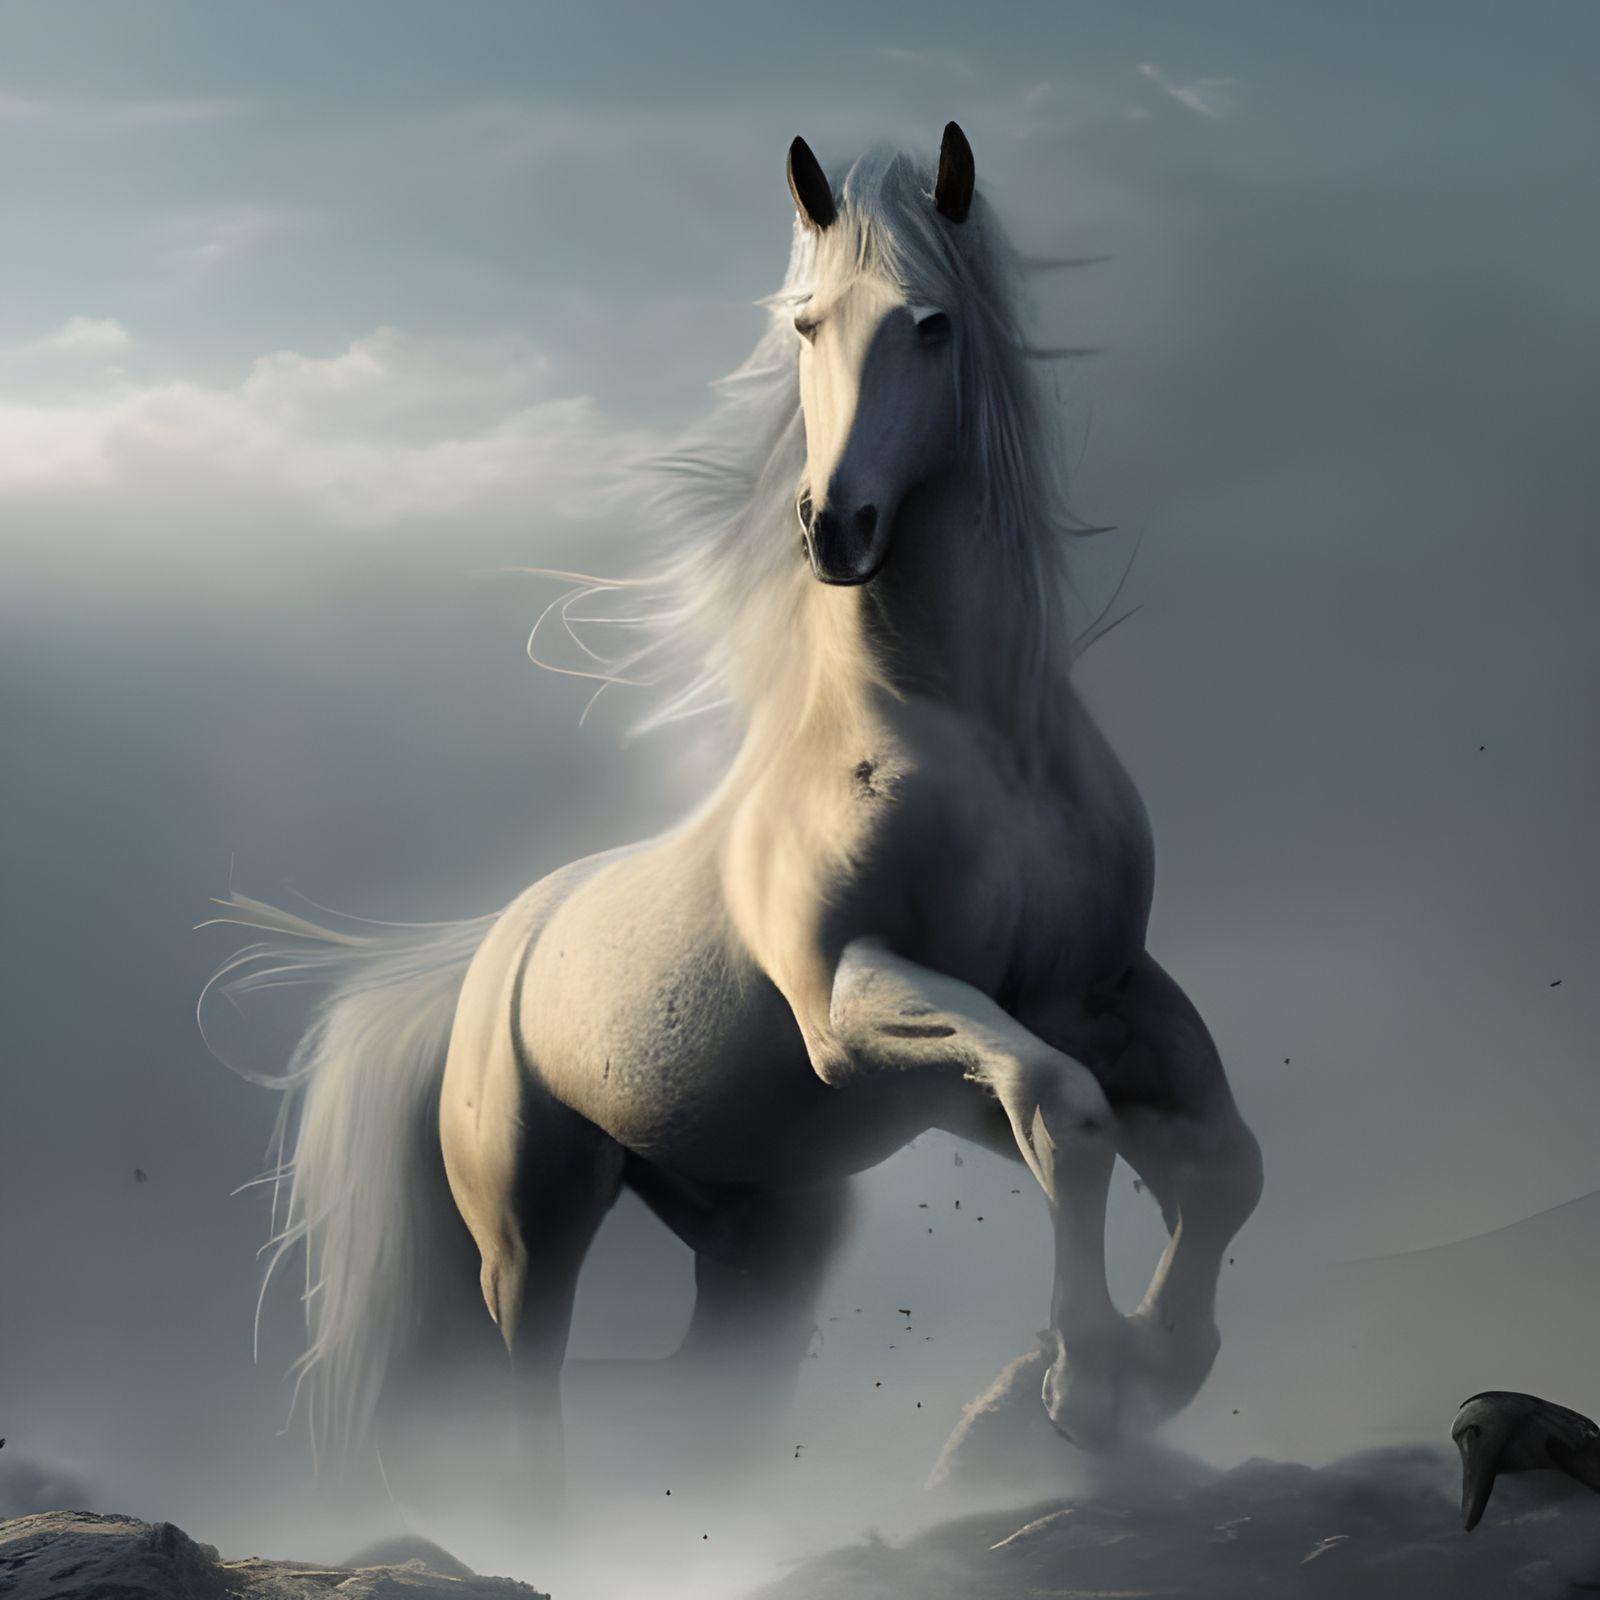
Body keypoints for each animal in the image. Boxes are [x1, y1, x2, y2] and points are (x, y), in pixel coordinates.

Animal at [210, 122, 1263, 1501]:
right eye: (806, 324)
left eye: (931, 324)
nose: (833, 526)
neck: (975, 739)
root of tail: (490, 949)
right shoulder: (855, 1005)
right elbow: (1065, 1110)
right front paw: (1083, 1386)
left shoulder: (1096, 995)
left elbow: (1213, 1165)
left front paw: (1146, 1369)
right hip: (529, 1231)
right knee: (527, 1396)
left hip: (759, 1231)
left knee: (705, 1392)